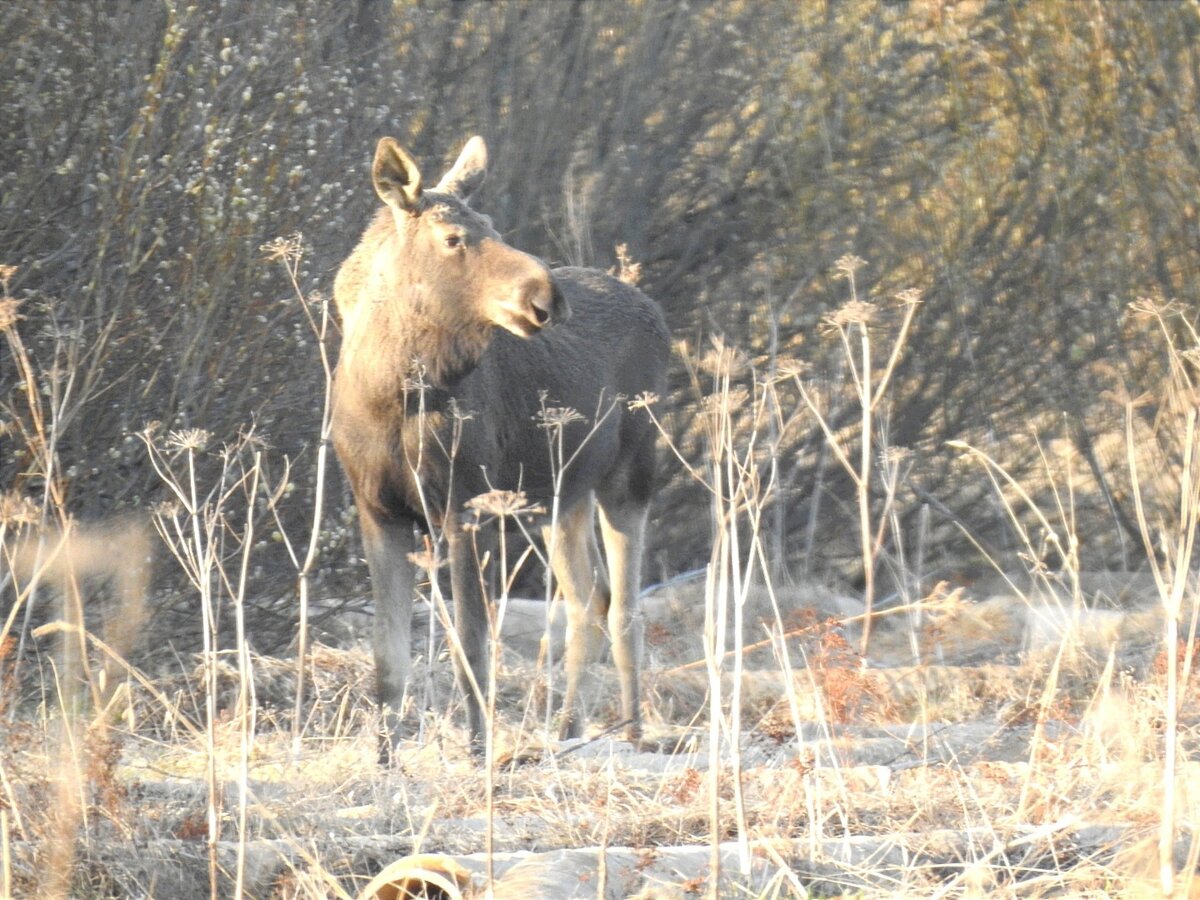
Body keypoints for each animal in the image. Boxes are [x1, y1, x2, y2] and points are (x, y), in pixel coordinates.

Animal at [331, 133, 667, 753]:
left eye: (494, 226)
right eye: (452, 237)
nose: (547, 297)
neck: (391, 395)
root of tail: (655, 310)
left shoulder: (466, 506)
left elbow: (471, 645)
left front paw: (478, 748)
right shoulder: (378, 510)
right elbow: (387, 658)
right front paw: (386, 757)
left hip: (631, 473)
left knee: (626, 608)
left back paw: (632, 733)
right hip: (560, 496)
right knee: (588, 600)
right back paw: (568, 728)